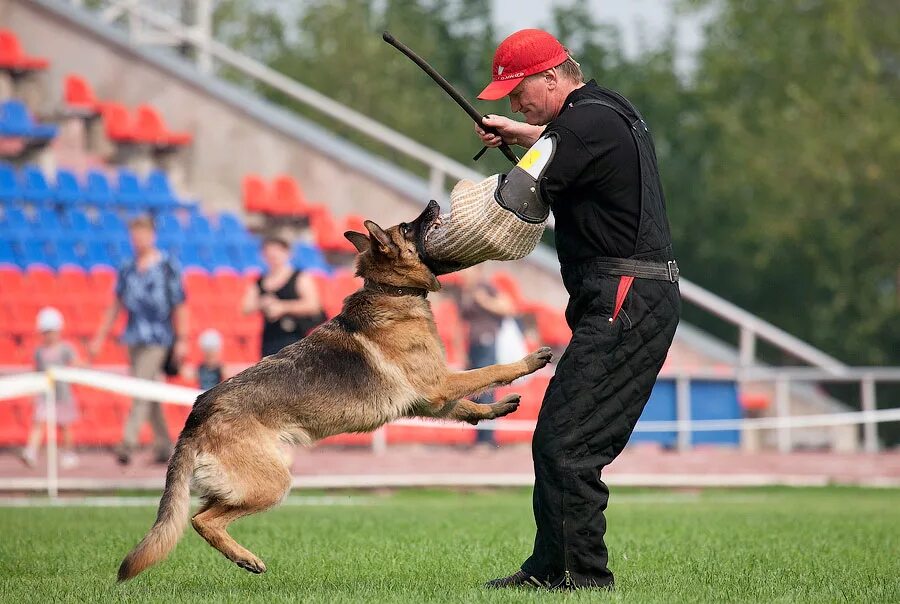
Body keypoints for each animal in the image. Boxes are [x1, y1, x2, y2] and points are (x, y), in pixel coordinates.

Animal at [116, 202, 552, 580]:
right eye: (408, 227)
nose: (431, 202)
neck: (390, 291)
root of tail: (198, 409)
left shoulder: (430, 398)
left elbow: (466, 406)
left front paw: (494, 410)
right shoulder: (440, 383)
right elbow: (490, 370)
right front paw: (528, 362)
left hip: (241, 485)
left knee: (201, 513)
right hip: (271, 483)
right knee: (200, 519)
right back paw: (246, 558)